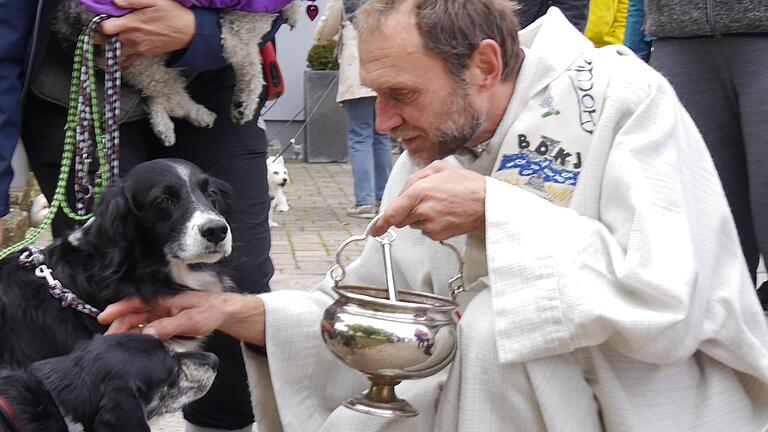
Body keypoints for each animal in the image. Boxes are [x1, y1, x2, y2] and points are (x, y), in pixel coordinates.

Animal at [53, 0, 300, 147]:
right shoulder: (238, 32)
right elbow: (251, 70)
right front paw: (244, 105)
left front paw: (292, 12)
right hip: (143, 57)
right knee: (170, 97)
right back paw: (199, 114)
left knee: (155, 96)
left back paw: (165, 128)